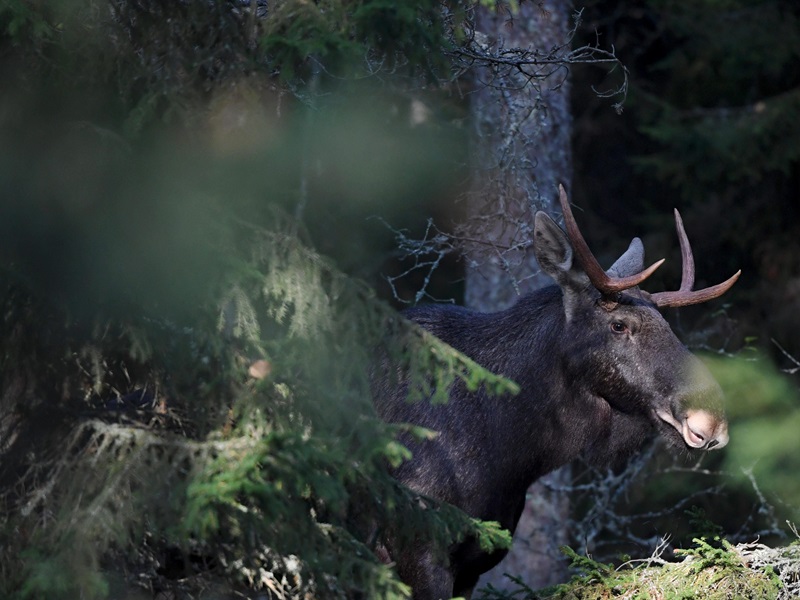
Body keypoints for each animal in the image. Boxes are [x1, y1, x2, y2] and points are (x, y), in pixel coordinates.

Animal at [374, 185, 740, 599]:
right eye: (618, 325)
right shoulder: (417, 550)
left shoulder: (474, 564)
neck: (509, 454)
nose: (711, 419)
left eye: (666, 323)